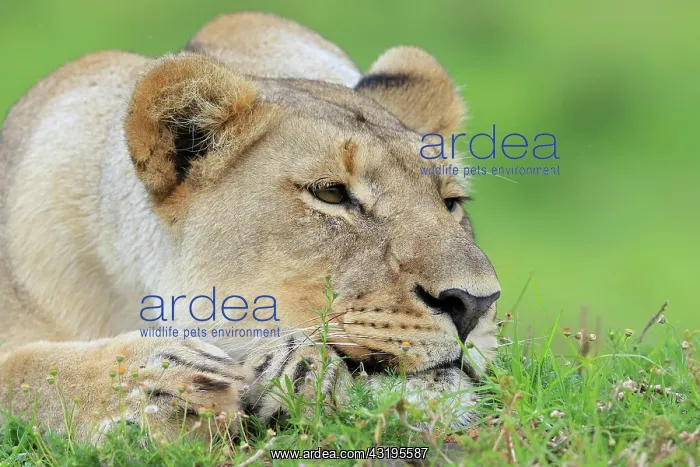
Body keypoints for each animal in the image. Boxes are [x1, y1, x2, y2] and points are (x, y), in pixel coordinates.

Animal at [0, 11, 500, 441]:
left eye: (450, 202)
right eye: (331, 193)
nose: (475, 304)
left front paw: (294, 367)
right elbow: (22, 373)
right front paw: (163, 384)